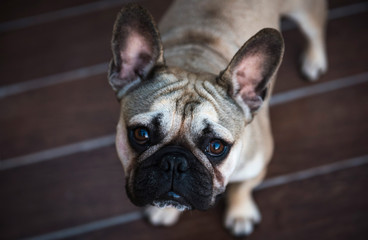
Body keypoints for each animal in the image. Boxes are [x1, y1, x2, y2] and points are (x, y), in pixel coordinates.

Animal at [107, 0, 328, 236]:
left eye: (216, 146)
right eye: (141, 134)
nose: (174, 162)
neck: (197, 61)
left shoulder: (255, 168)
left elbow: (241, 188)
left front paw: (240, 214)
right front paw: (165, 211)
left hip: (303, 11)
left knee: (315, 28)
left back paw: (314, 59)